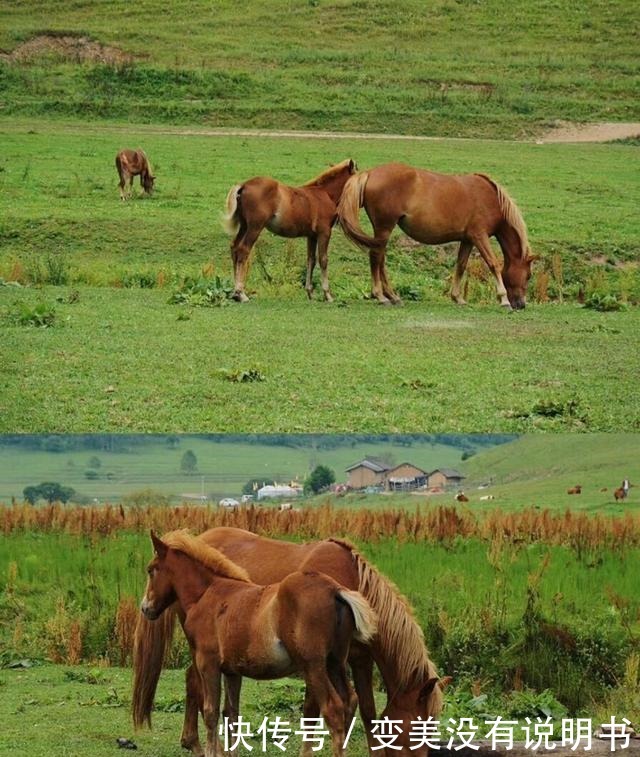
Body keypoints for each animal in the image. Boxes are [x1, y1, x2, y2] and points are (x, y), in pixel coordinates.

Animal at [135, 524, 444, 756]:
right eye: (416, 729)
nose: (145, 607)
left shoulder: (358, 658)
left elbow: (365, 709)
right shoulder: (340, 661)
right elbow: (320, 710)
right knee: (193, 682)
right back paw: (194, 743)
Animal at [222, 159, 358, 302]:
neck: (325, 194)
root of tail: (243, 186)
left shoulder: (312, 235)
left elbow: (311, 260)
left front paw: (309, 292)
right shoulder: (324, 232)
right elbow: (323, 260)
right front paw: (328, 295)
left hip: (244, 225)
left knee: (234, 247)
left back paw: (235, 292)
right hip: (255, 227)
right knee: (243, 250)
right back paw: (241, 293)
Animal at [338, 162, 536, 308]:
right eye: (528, 275)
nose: (521, 304)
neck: (491, 198)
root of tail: (370, 173)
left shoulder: (467, 239)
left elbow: (461, 265)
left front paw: (458, 298)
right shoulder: (480, 236)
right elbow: (493, 264)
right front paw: (503, 299)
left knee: (380, 260)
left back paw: (392, 296)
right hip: (384, 228)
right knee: (376, 257)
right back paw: (381, 296)